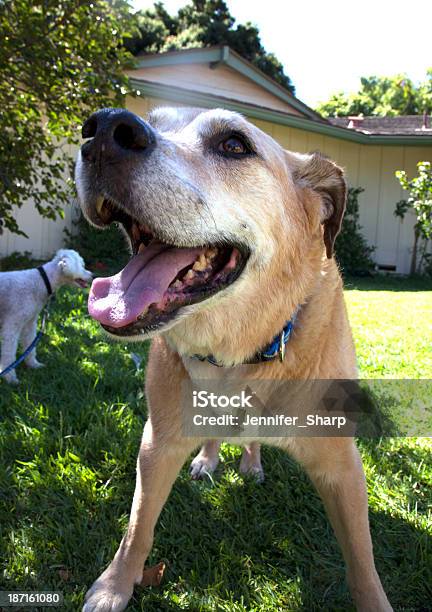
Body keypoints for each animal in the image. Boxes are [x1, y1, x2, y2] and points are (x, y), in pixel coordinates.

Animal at [0, 249, 92, 382]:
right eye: (81, 265)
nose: (93, 275)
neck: (41, 281)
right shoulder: (12, 325)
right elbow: (9, 353)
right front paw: (10, 377)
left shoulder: (30, 323)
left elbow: (30, 345)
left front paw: (33, 364)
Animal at [75, 107, 392, 608]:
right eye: (154, 119)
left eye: (233, 145)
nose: (104, 129)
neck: (239, 352)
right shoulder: (158, 442)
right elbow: (137, 528)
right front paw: (115, 585)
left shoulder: (342, 465)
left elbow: (362, 561)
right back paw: (209, 459)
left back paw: (251, 461)